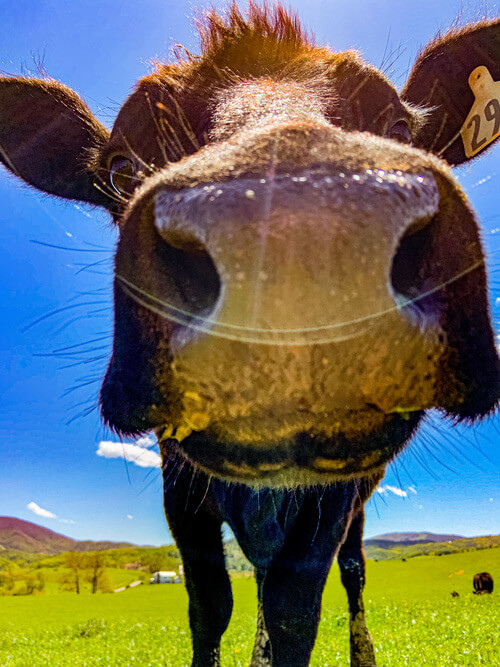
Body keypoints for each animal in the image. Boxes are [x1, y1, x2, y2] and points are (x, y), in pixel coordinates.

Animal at [0, 3, 499, 666]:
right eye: (120, 166)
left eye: (400, 124)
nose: (301, 230)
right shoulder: (179, 486)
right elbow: (210, 603)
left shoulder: (334, 494)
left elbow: (294, 610)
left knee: (351, 570)